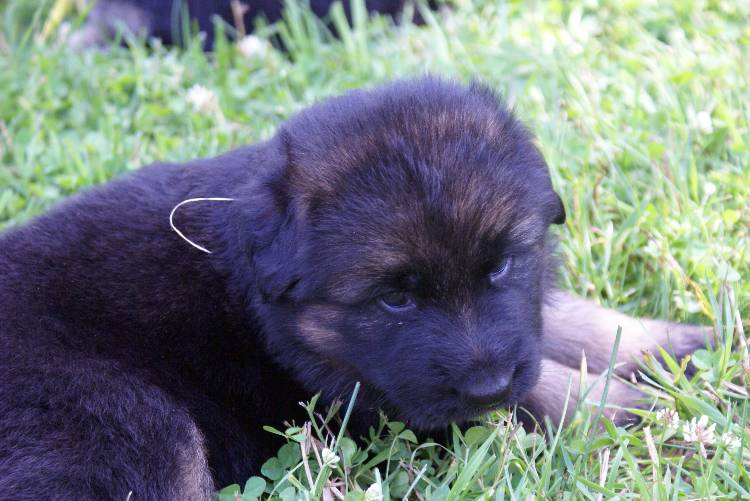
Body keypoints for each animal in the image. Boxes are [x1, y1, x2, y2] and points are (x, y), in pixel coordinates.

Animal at [0, 76, 708, 498]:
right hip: (129, 427)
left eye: (502, 266)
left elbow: (566, 323)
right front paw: (658, 420)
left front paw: (681, 352)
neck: (254, 300)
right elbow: (546, 395)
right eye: (394, 297)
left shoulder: (517, 327)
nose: (485, 384)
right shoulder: (379, 392)